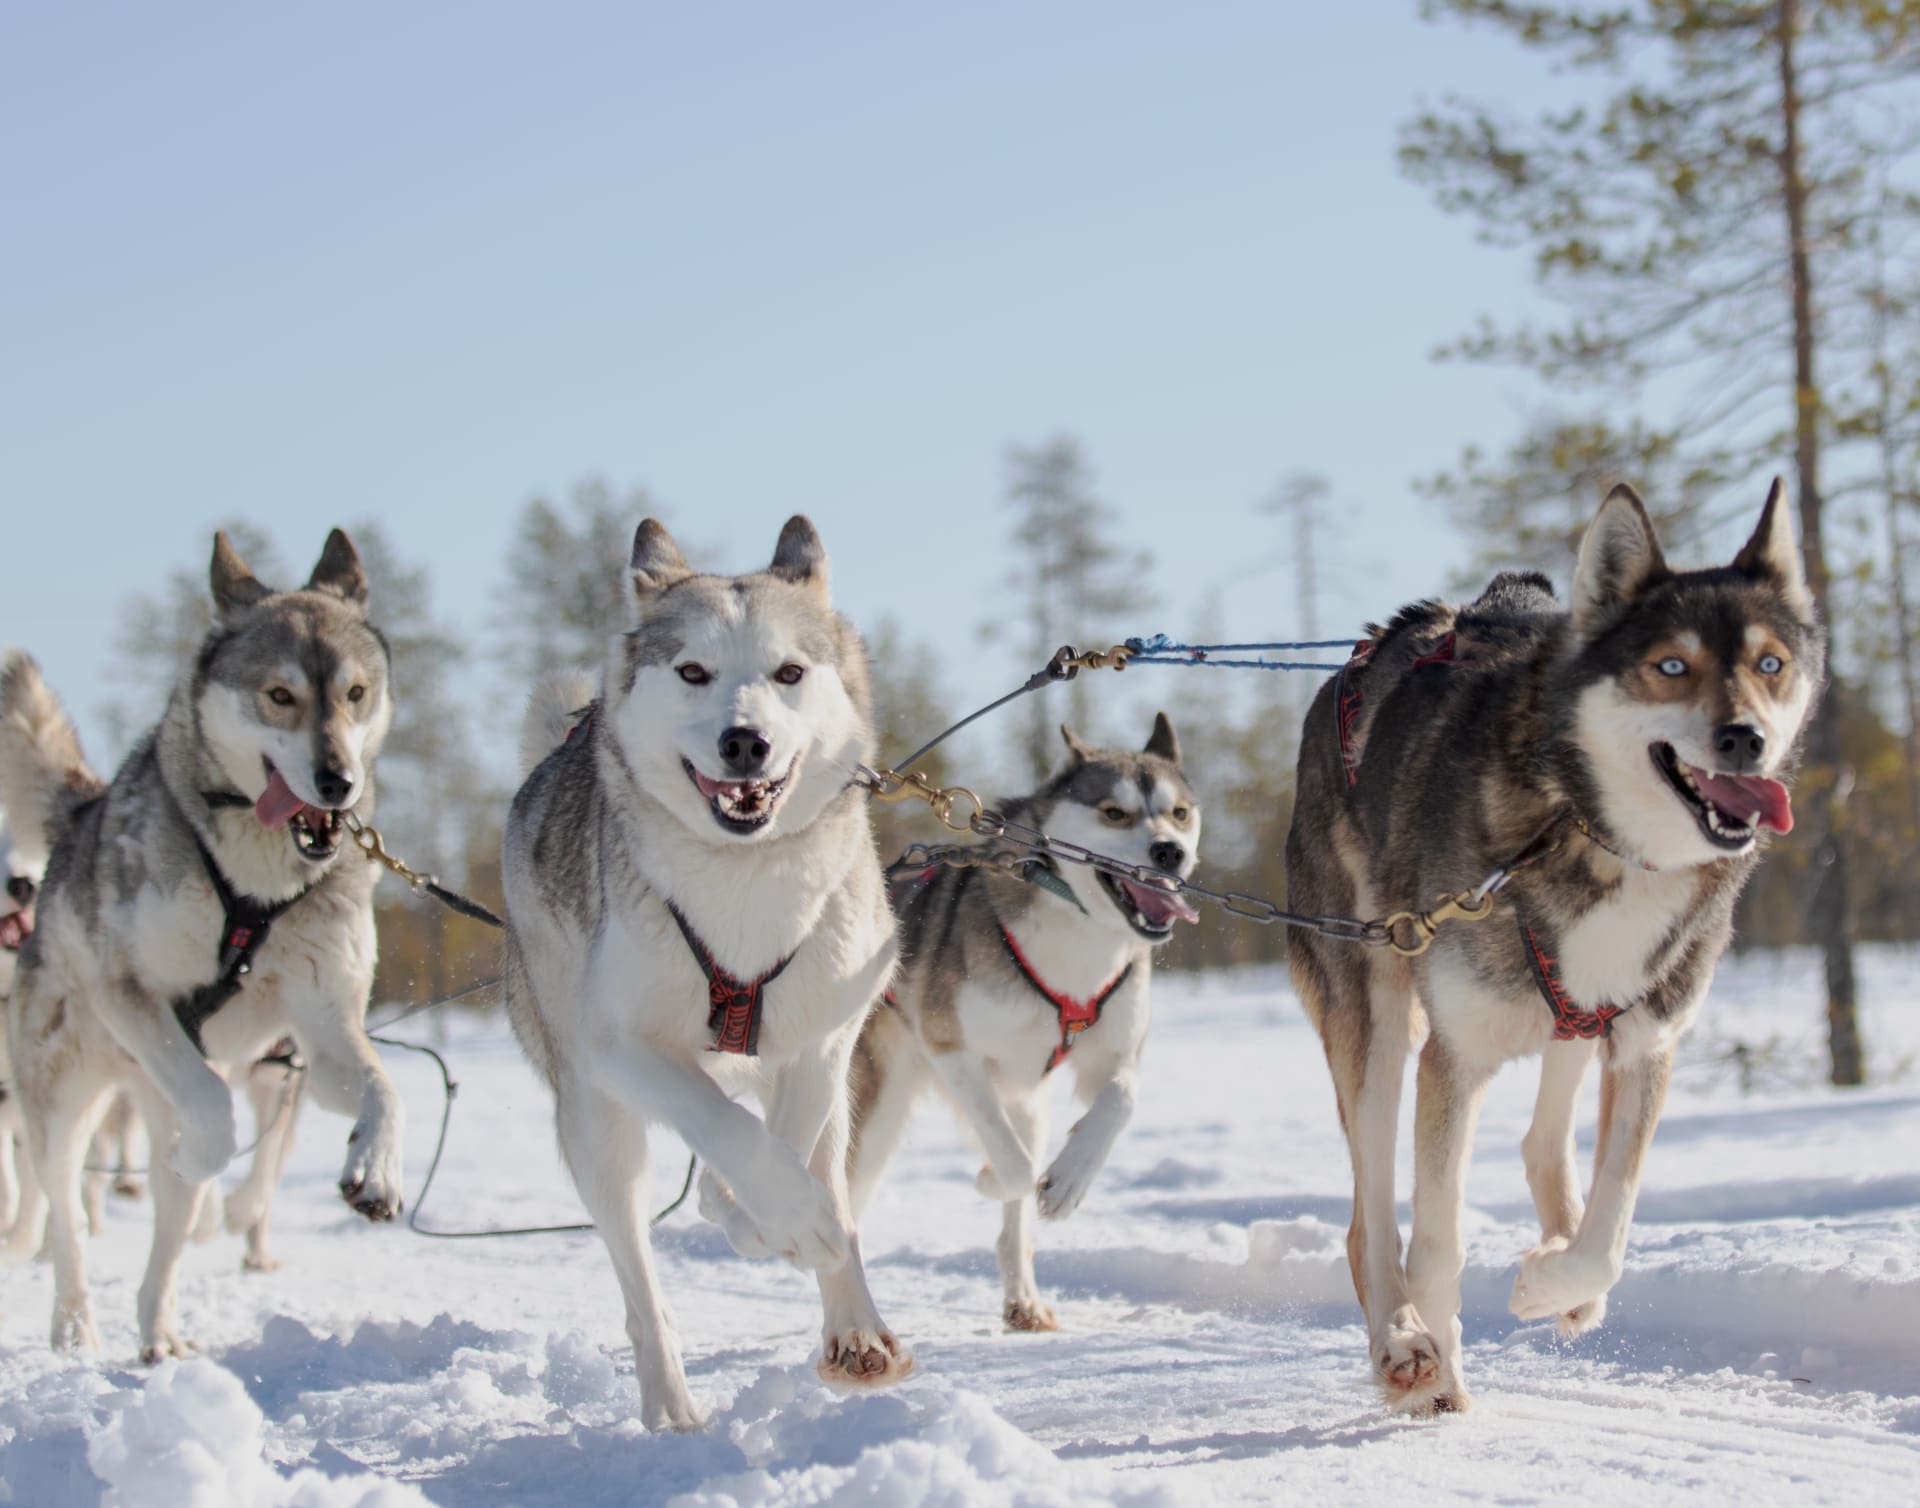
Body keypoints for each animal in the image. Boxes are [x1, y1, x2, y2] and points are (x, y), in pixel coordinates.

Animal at [2, 534, 408, 1360]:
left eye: (355, 694)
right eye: (279, 695)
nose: (337, 782)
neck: (255, 886)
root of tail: (82, 819)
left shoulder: (321, 1036)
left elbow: (383, 1088)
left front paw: (375, 1168)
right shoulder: (132, 995)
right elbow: (212, 1105)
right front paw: (209, 1150)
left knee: (167, 1237)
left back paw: (159, 1331)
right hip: (61, 1102)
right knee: (67, 1215)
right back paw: (74, 1322)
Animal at [503, 514, 906, 1421]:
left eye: (789, 671)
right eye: (692, 671)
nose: (744, 741)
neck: (744, 879)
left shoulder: (823, 1036)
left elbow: (788, 1142)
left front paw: (765, 1216)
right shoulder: (621, 1048)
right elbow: (728, 1131)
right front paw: (765, 1208)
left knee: (827, 1170)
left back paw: (854, 1325)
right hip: (597, 1129)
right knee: (641, 1287)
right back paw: (671, 1409)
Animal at [844, 718, 1190, 1329]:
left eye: (1180, 812)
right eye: (1114, 812)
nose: (1169, 851)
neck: (1075, 933)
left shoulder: (1111, 1059)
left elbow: (1120, 1101)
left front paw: (1071, 1180)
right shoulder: (952, 1050)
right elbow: (1015, 1166)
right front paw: (993, 1176)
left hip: (1028, 1102)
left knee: (1014, 1226)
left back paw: (1023, 1300)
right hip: (879, 1112)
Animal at [1282, 482, 1820, 1413]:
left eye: (1770, 664)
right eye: (1670, 666)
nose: (1745, 738)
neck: (1591, 830)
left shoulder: (1645, 1044)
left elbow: (1612, 1225)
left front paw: (1551, 1282)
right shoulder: (1454, 1058)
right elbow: (1437, 1242)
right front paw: (1446, 1364)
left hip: (1574, 1015)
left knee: (1545, 1138)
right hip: (1376, 1018)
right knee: (1369, 1220)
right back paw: (1403, 1346)